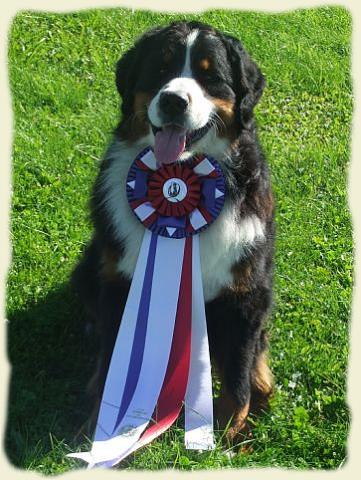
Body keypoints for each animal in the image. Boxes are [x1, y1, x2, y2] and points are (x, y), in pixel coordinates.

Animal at [72, 20, 276, 448]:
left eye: (209, 75)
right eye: (160, 69)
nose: (173, 101)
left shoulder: (245, 292)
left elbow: (238, 371)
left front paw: (229, 433)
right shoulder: (120, 283)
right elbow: (112, 365)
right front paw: (99, 431)